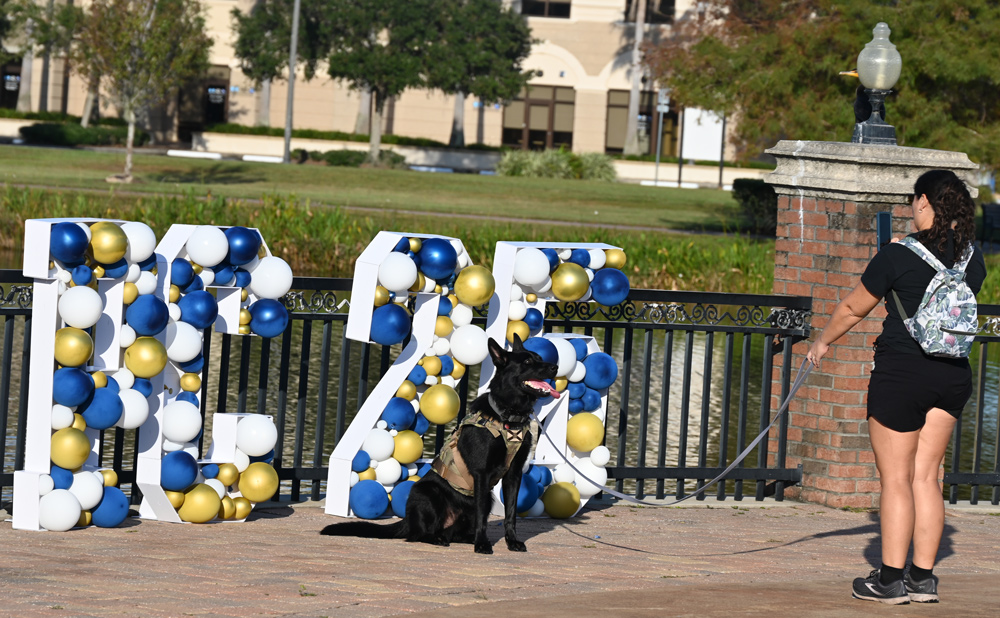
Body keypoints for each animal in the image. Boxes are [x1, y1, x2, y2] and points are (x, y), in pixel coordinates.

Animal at [320, 332, 560, 552]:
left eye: (539, 357)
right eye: (527, 362)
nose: (555, 367)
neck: (508, 417)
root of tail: (408, 521)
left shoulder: (514, 474)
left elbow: (511, 513)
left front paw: (512, 541)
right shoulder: (482, 474)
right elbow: (482, 516)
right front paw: (482, 544)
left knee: (454, 532)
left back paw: (461, 537)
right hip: (428, 493)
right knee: (418, 535)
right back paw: (437, 538)